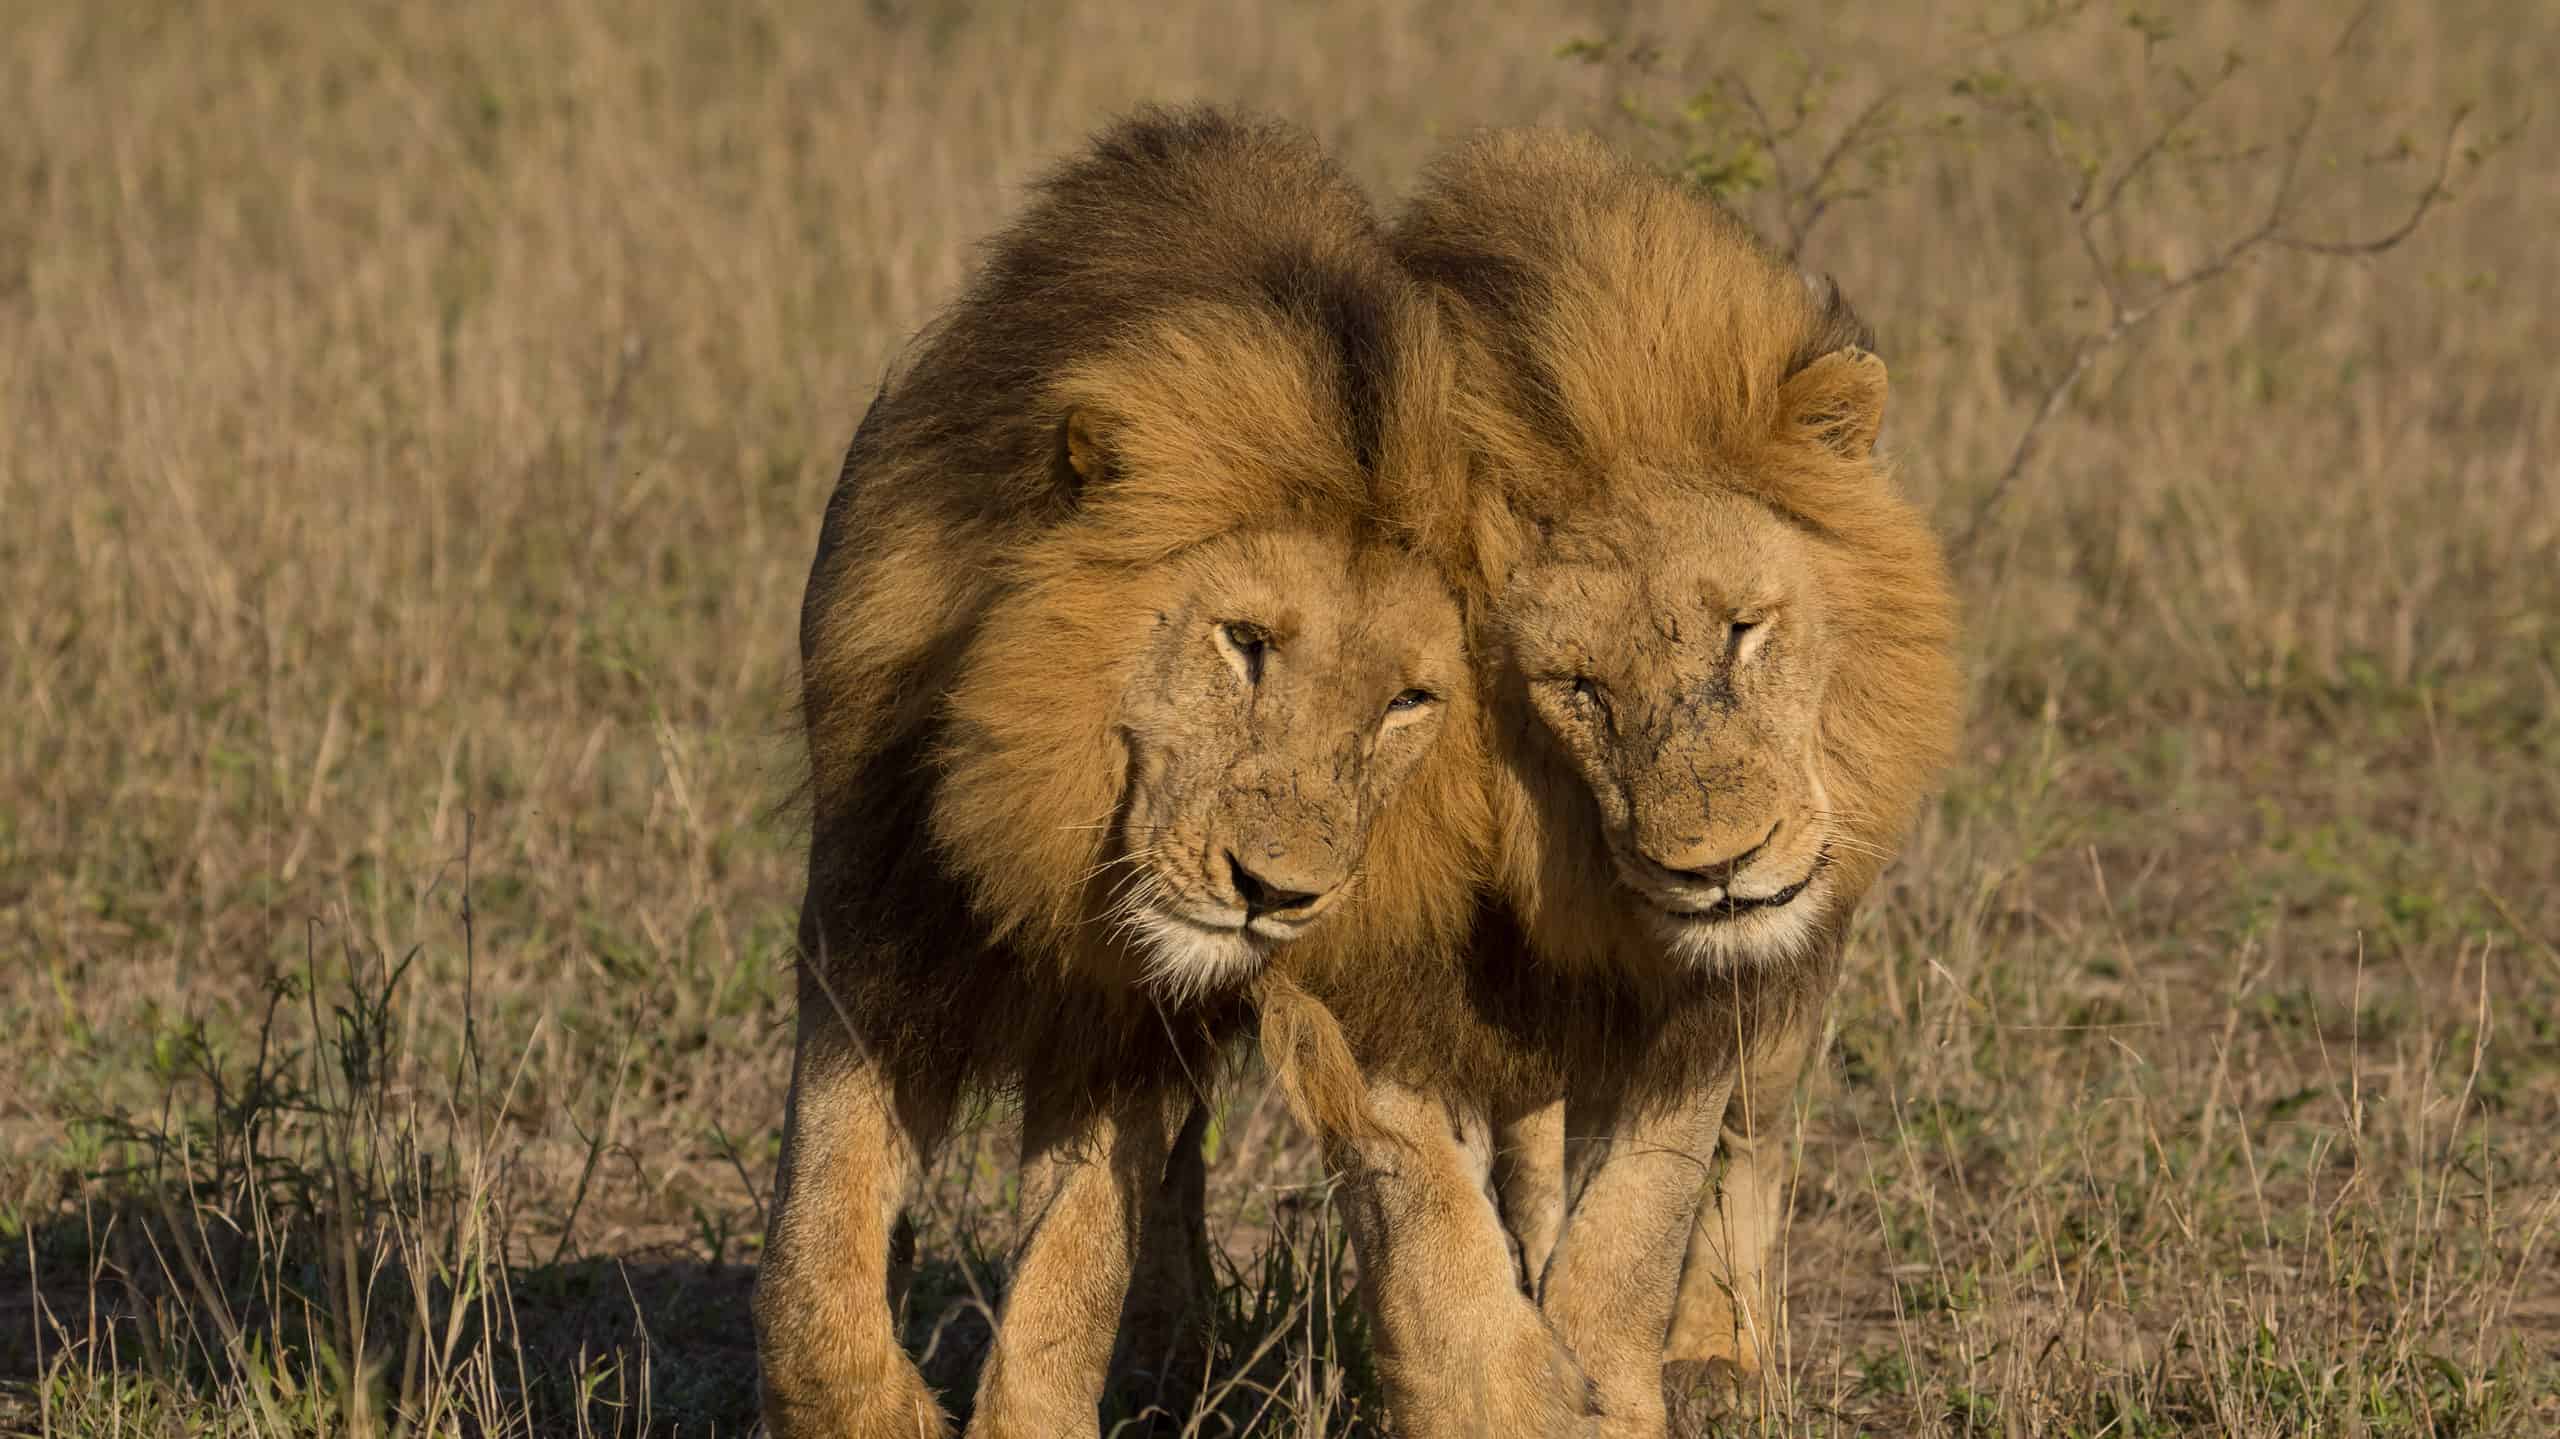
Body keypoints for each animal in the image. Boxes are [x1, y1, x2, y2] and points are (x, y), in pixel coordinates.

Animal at [742, 109, 1495, 1433]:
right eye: (1243, 641)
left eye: (1407, 702)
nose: (1278, 893)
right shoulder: (877, 927)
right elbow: (810, 1264)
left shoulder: (1127, 1022)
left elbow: (1073, 1270)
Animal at [1300, 126, 1955, 1433]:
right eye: (1577, 687)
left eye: (1744, 630)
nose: (1715, 870)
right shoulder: (1381, 966)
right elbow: (1422, 1209)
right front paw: (1488, 1387)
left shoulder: (1708, 1001)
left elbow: (1644, 1216)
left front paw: (1628, 1372)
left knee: (1748, 1149)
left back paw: (1720, 1352)